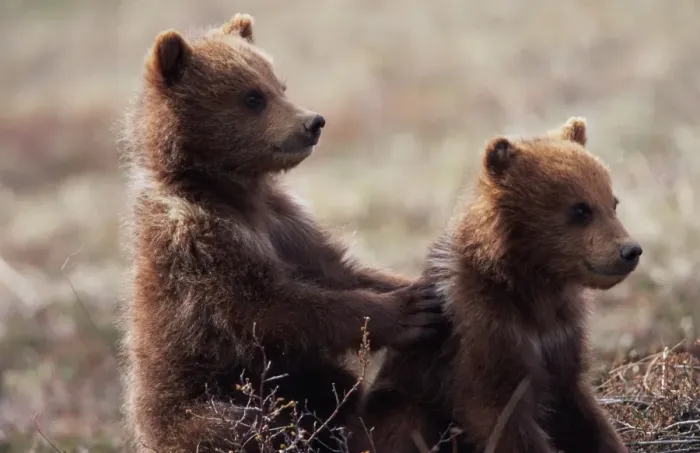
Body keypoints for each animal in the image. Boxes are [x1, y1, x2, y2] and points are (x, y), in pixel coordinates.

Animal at [117, 13, 444, 453]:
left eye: (279, 86)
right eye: (252, 97)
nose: (313, 122)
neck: (234, 192)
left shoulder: (287, 227)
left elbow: (337, 271)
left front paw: (418, 284)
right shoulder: (200, 244)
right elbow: (269, 309)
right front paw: (405, 310)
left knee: (331, 384)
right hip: (199, 406)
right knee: (235, 425)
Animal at [353, 117, 642, 453]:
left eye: (613, 203)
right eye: (581, 209)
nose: (630, 251)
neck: (532, 284)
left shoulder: (561, 337)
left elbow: (580, 412)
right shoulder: (486, 334)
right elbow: (502, 415)